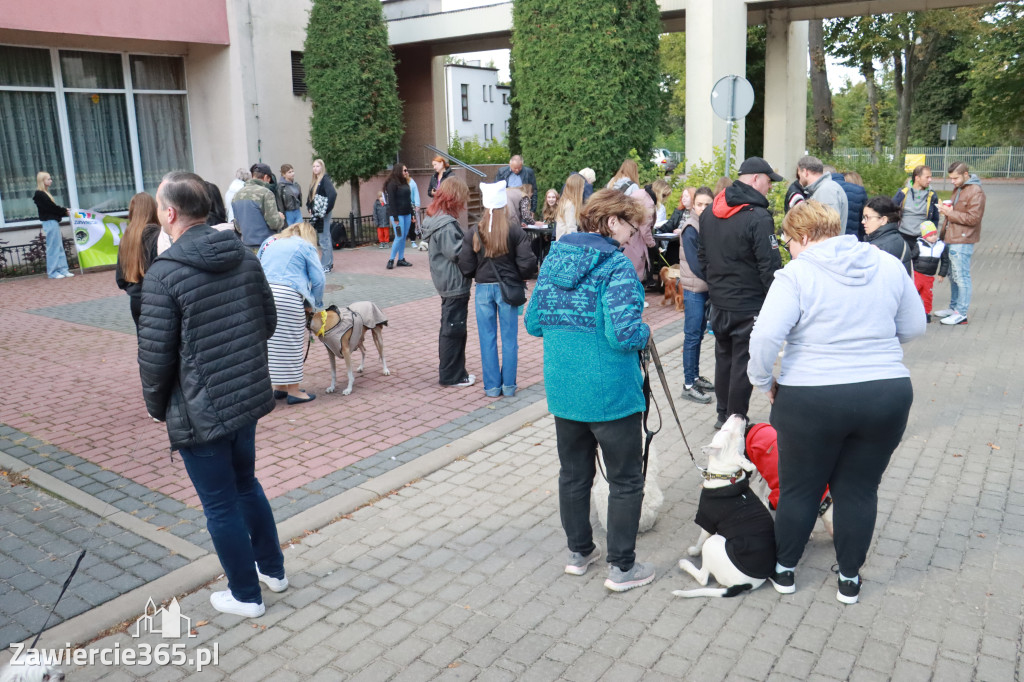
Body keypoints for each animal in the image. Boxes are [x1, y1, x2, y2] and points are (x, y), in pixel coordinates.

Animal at [671, 409, 774, 593]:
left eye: (739, 434)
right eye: (728, 431)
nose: (740, 415)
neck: (725, 475)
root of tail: (746, 584)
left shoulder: (707, 521)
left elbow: (701, 538)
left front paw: (694, 550)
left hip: (712, 544)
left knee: (703, 578)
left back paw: (685, 564)